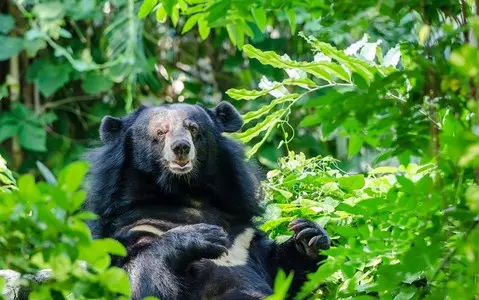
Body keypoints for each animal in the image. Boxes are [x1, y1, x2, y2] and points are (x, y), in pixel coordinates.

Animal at [83, 102, 330, 298]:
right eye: (161, 131)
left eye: (193, 128)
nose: (181, 147)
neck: (185, 193)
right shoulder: (132, 227)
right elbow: (137, 277)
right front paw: (204, 236)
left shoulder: (244, 235)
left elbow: (282, 271)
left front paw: (309, 235)